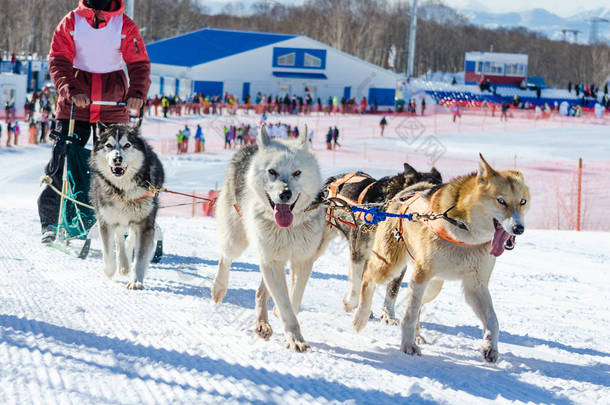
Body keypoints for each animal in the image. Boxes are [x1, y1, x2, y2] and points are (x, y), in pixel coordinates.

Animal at [88, 121, 164, 288]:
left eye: (127, 145)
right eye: (109, 145)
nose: (117, 159)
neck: (122, 190)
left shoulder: (145, 223)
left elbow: (140, 257)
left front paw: (136, 281)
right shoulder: (106, 221)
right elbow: (108, 251)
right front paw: (110, 271)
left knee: (130, 238)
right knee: (119, 237)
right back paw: (122, 264)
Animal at [210, 126, 324, 350]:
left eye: (297, 173)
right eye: (272, 172)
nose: (285, 194)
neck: (287, 227)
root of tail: (249, 148)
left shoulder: (302, 260)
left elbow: (293, 299)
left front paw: (283, 320)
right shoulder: (271, 261)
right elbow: (285, 304)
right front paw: (295, 338)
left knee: (261, 292)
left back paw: (262, 324)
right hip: (237, 241)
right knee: (225, 258)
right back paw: (219, 288)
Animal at [316, 164, 440, 322]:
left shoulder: (397, 262)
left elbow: (393, 289)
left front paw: (388, 316)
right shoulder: (359, 253)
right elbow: (358, 283)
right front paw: (352, 305)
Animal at [352, 155, 528, 362]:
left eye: (523, 201)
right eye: (501, 200)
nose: (519, 228)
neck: (465, 233)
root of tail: (406, 194)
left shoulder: (476, 285)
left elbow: (493, 320)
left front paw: (490, 347)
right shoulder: (420, 276)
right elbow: (409, 315)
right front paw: (408, 345)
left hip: (434, 286)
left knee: (418, 305)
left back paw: (417, 334)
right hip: (389, 266)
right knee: (368, 278)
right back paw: (359, 315)